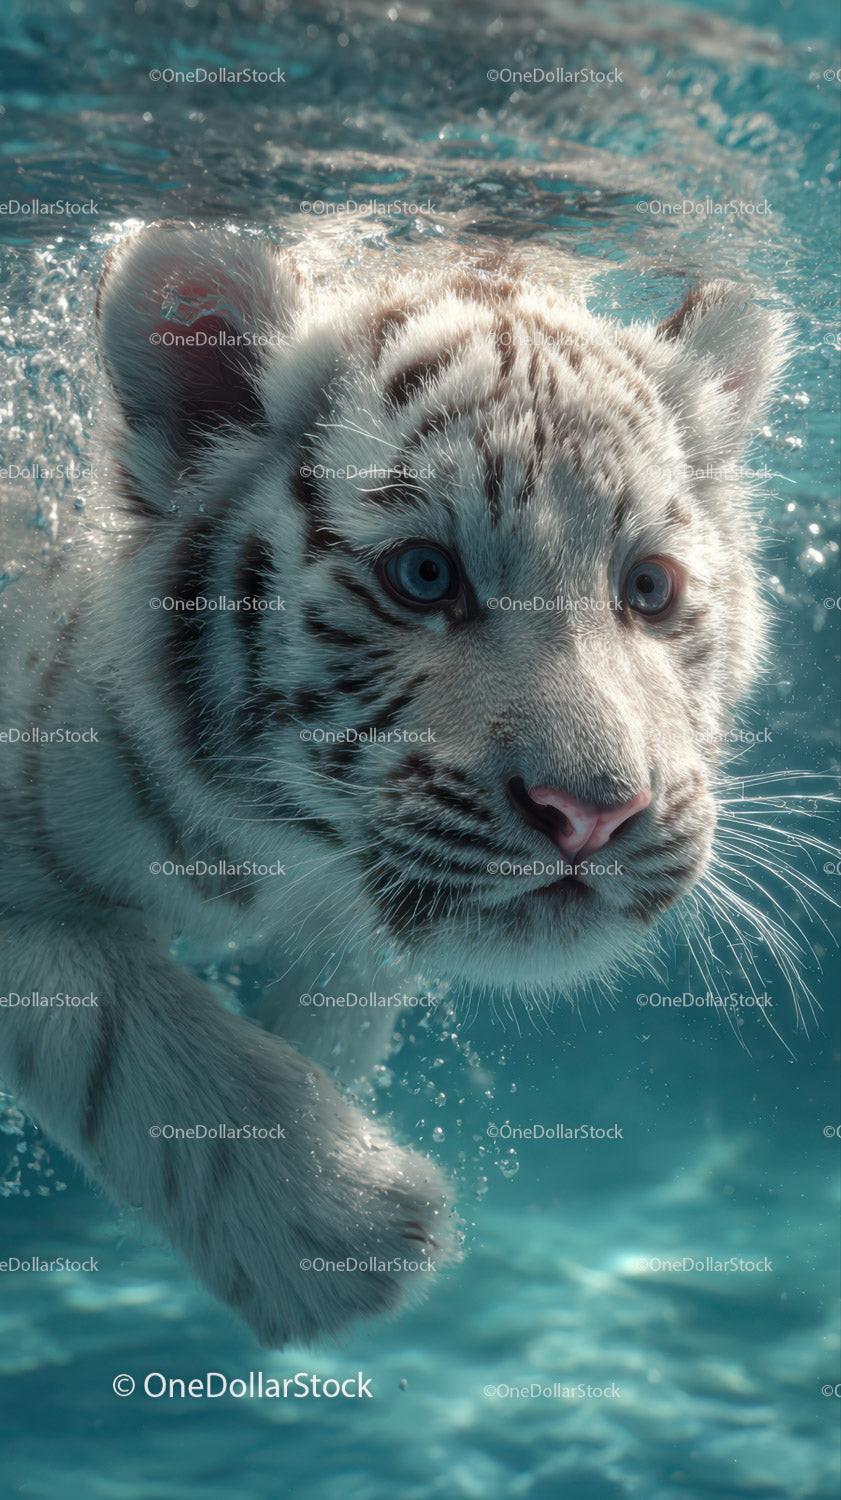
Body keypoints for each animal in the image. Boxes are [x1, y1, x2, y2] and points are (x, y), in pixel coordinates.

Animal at [0, 224, 789, 1346]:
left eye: (648, 588)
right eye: (423, 577)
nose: (593, 814)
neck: (278, 847)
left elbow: (344, 993)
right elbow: (114, 1018)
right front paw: (334, 1234)